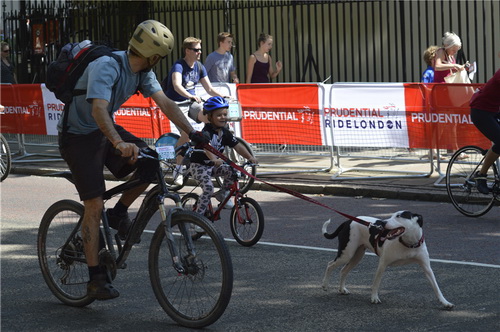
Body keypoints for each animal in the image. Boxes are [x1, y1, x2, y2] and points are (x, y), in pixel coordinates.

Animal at [322, 210, 456, 308]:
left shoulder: (427, 268)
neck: (408, 243)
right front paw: (374, 298)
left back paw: (342, 289)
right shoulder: (382, 264)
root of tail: (348, 221)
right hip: (347, 254)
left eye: (399, 216)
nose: (382, 223)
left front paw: (445, 302)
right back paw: (325, 285)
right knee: (330, 265)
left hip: (356, 256)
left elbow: (436, 287)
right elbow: (376, 283)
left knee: (343, 270)